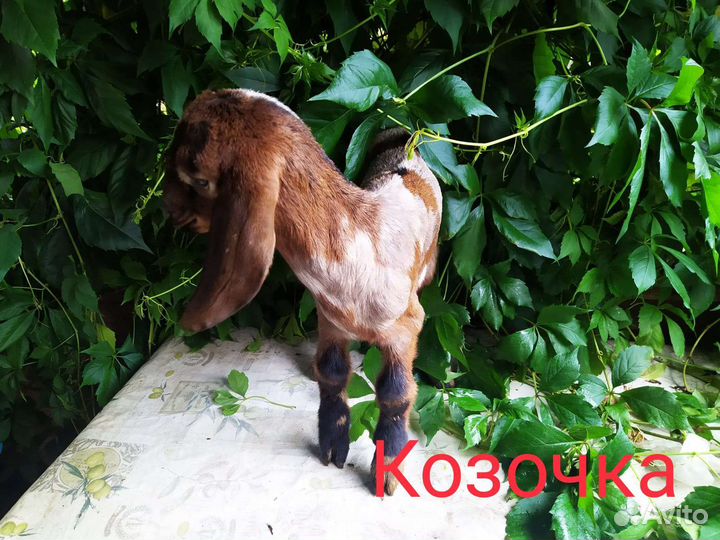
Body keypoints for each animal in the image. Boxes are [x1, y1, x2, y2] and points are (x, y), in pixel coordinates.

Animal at [163, 89, 442, 495]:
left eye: (198, 180)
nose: (170, 213)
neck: (362, 239)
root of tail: (403, 133)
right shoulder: (329, 318)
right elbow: (331, 371)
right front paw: (332, 446)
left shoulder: (405, 328)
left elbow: (395, 393)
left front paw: (388, 471)